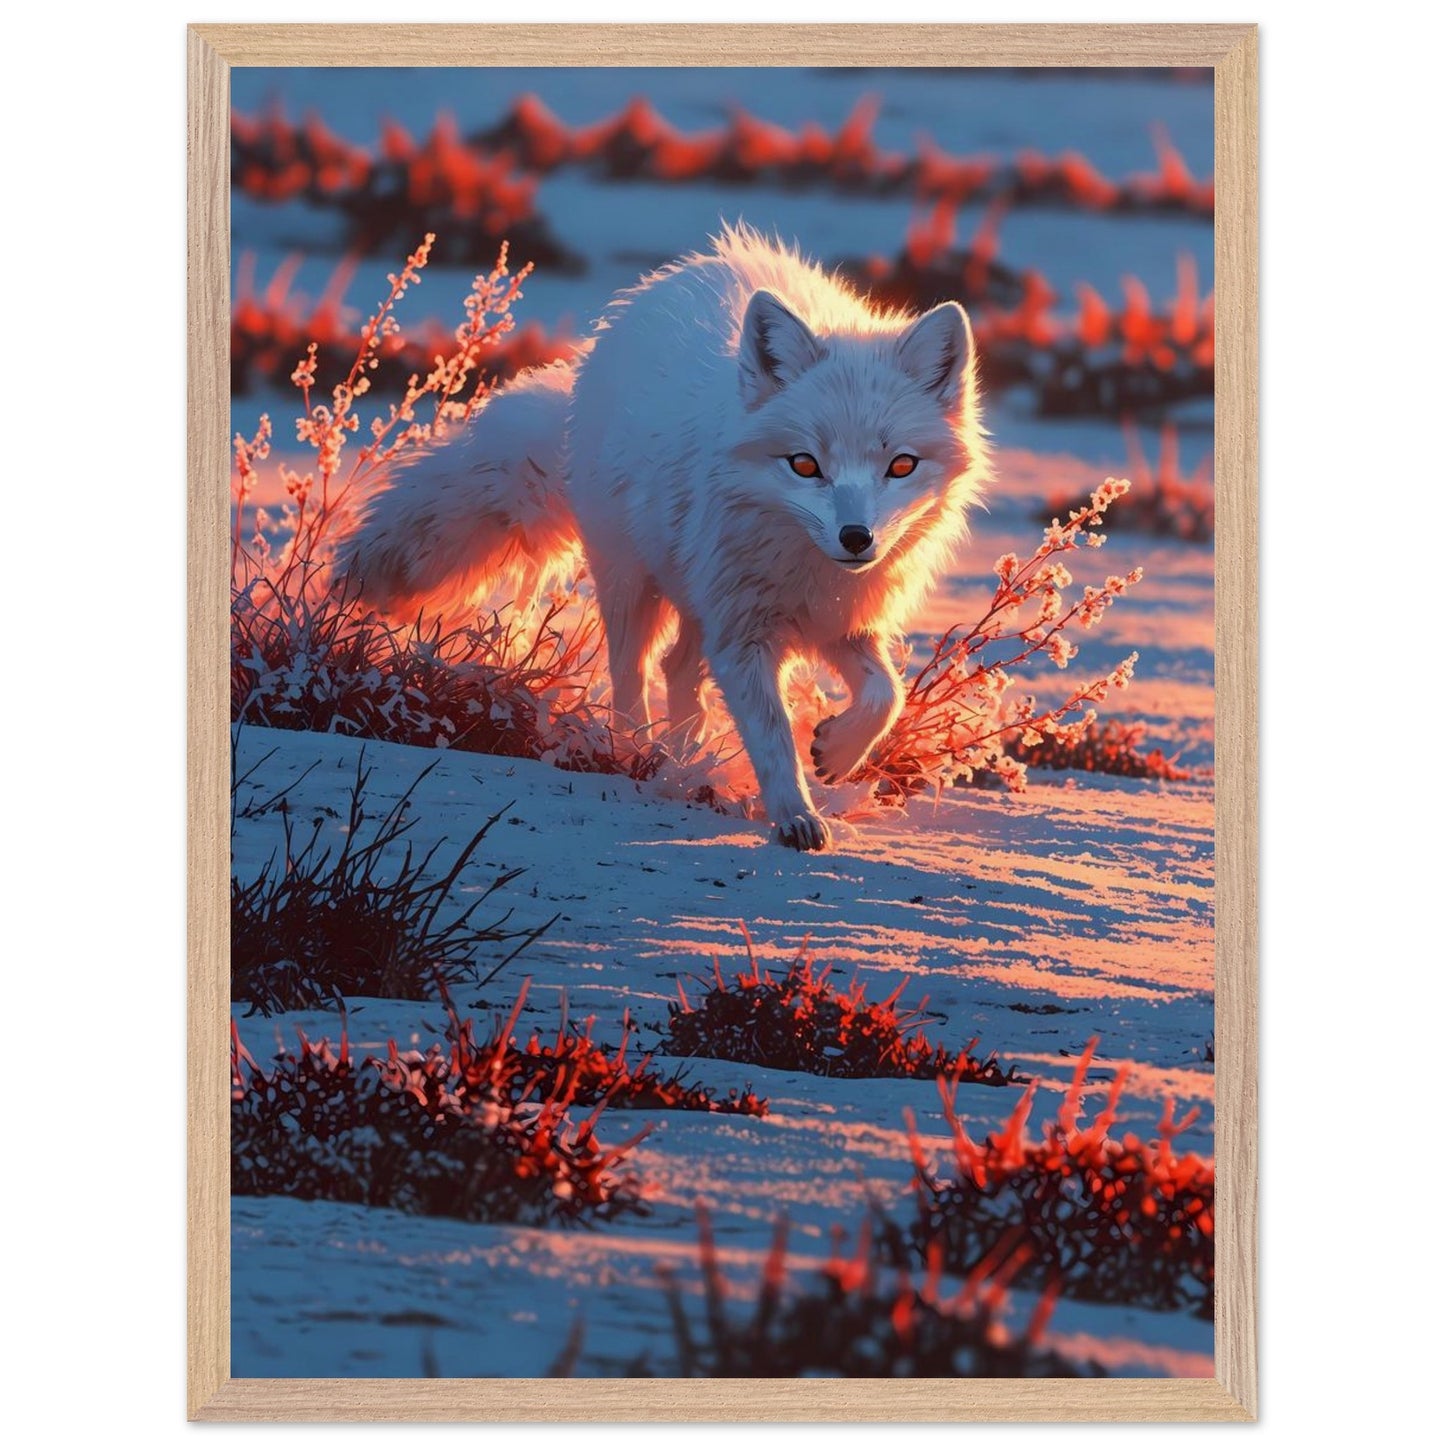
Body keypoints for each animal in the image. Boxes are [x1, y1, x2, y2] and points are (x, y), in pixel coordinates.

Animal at [343, 225, 989, 850]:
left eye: (900, 466)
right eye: (805, 465)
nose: (856, 538)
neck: (805, 567)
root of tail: (659, 288)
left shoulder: (839, 620)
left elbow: (887, 694)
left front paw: (837, 750)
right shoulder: (743, 635)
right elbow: (773, 737)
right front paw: (795, 817)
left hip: (697, 600)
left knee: (679, 671)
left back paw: (688, 760)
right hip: (634, 585)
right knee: (632, 674)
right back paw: (638, 754)